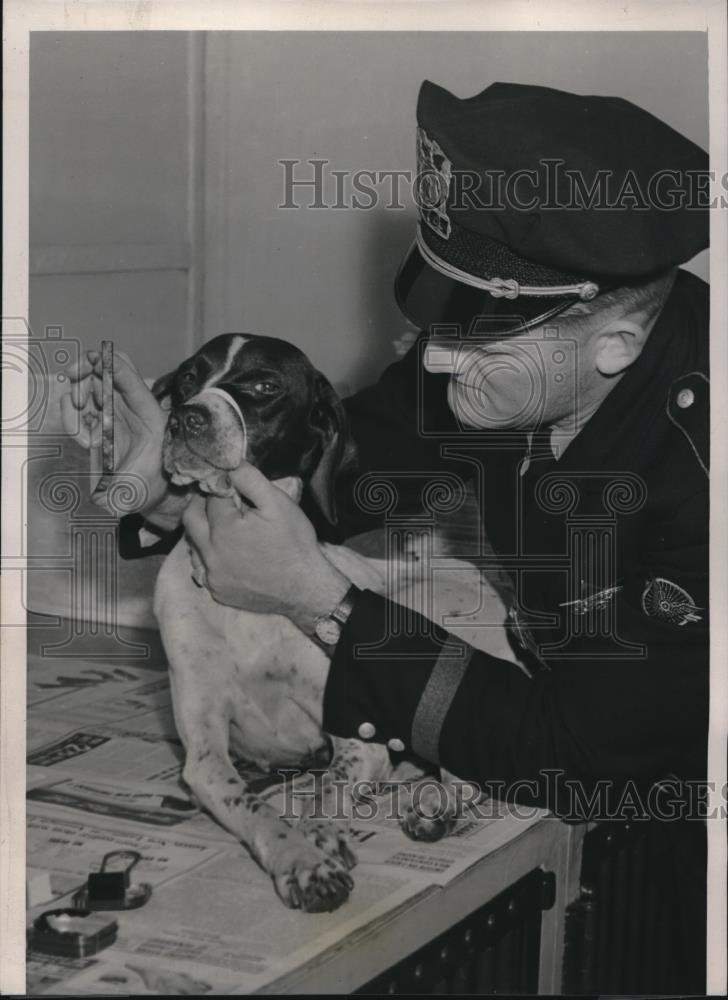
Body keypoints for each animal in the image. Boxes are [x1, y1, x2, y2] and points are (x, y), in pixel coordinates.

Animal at [152, 332, 516, 912]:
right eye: (189, 376)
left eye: (264, 386)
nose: (186, 418)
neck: (247, 610)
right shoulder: (205, 755)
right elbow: (256, 808)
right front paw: (298, 858)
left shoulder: (359, 740)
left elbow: (324, 792)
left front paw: (317, 837)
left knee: (470, 771)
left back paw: (434, 806)